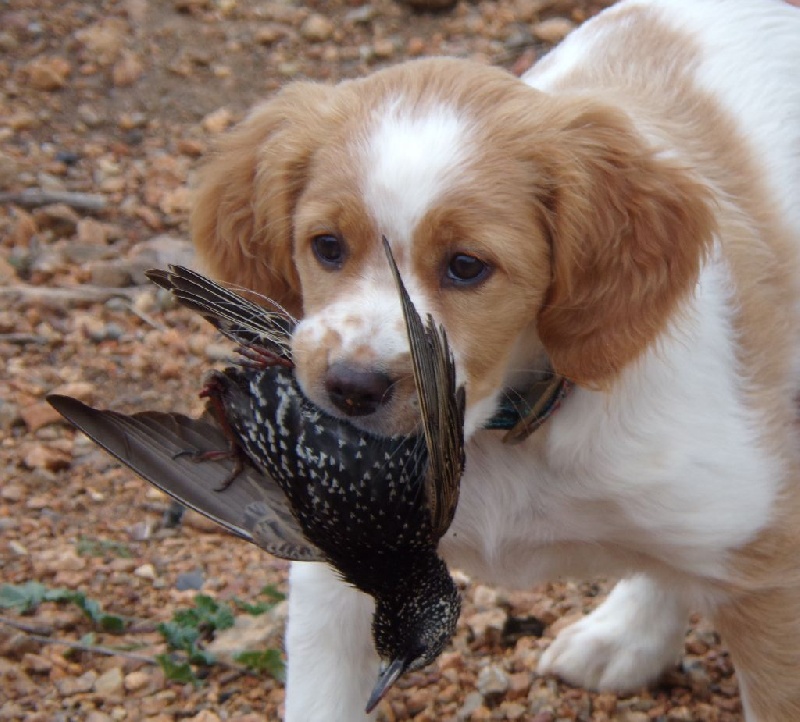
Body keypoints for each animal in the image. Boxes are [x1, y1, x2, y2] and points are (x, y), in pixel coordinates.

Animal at [192, 2, 800, 716]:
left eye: (466, 266)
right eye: (327, 246)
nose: (350, 388)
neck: (497, 437)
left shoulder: (769, 556)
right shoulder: (338, 573)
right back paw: (628, 637)